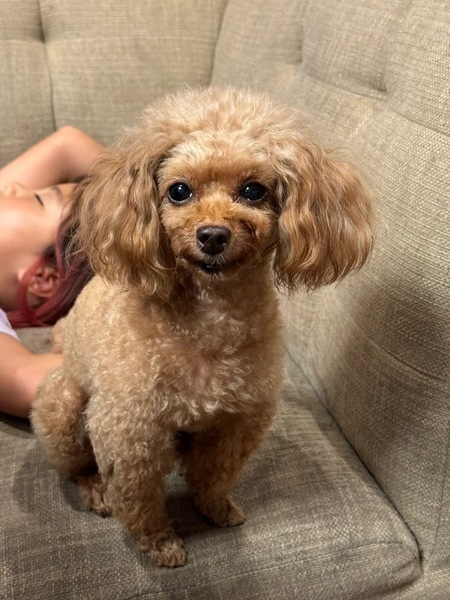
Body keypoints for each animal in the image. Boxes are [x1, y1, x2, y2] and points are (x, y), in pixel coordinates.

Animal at [31, 86, 374, 568]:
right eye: (179, 191)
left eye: (253, 190)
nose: (212, 235)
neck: (213, 317)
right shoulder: (128, 427)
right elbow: (138, 498)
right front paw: (160, 545)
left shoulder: (238, 420)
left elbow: (214, 475)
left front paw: (215, 509)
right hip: (61, 407)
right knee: (77, 465)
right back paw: (95, 488)